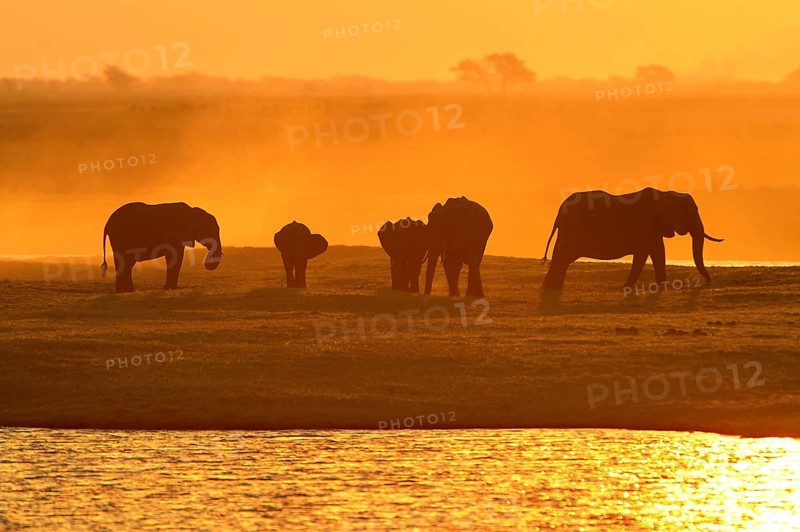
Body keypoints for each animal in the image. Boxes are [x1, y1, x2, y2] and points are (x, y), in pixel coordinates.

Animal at [541, 188, 724, 290]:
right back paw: (551, 289)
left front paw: (661, 286)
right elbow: (644, 253)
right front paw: (627, 287)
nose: (708, 282)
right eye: (693, 212)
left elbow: (658, 251)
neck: (666, 194)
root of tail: (559, 212)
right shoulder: (645, 224)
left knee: (561, 258)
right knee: (562, 256)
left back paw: (551, 288)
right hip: (572, 230)